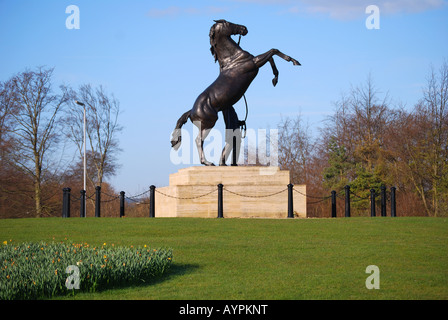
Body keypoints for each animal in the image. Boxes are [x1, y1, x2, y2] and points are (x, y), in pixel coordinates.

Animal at [172, 19, 300, 165]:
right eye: (228, 23)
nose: (244, 28)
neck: (233, 58)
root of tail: (191, 111)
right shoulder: (255, 63)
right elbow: (273, 51)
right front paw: (294, 62)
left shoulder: (256, 62)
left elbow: (271, 57)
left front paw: (275, 78)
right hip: (208, 124)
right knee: (199, 141)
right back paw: (208, 162)